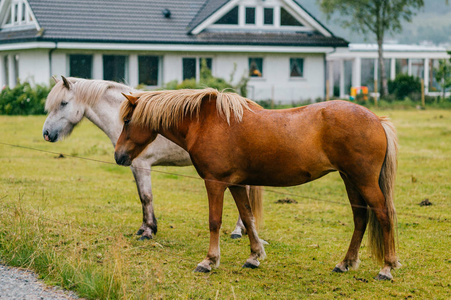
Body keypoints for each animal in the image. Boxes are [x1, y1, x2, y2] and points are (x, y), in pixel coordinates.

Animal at [42, 77, 264, 239]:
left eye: (63, 103)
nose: (46, 133)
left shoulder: (142, 164)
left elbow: (147, 196)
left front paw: (149, 231)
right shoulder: (133, 165)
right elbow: (142, 196)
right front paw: (144, 227)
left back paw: (238, 231)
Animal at [115, 88, 400, 280]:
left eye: (127, 121)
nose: (119, 156)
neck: (205, 122)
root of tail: (377, 120)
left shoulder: (215, 183)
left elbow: (214, 221)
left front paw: (209, 261)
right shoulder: (237, 185)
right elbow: (248, 217)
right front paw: (254, 257)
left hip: (363, 181)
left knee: (383, 215)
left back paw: (387, 267)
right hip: (350, 179)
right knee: (360, 218)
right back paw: (345, 263)